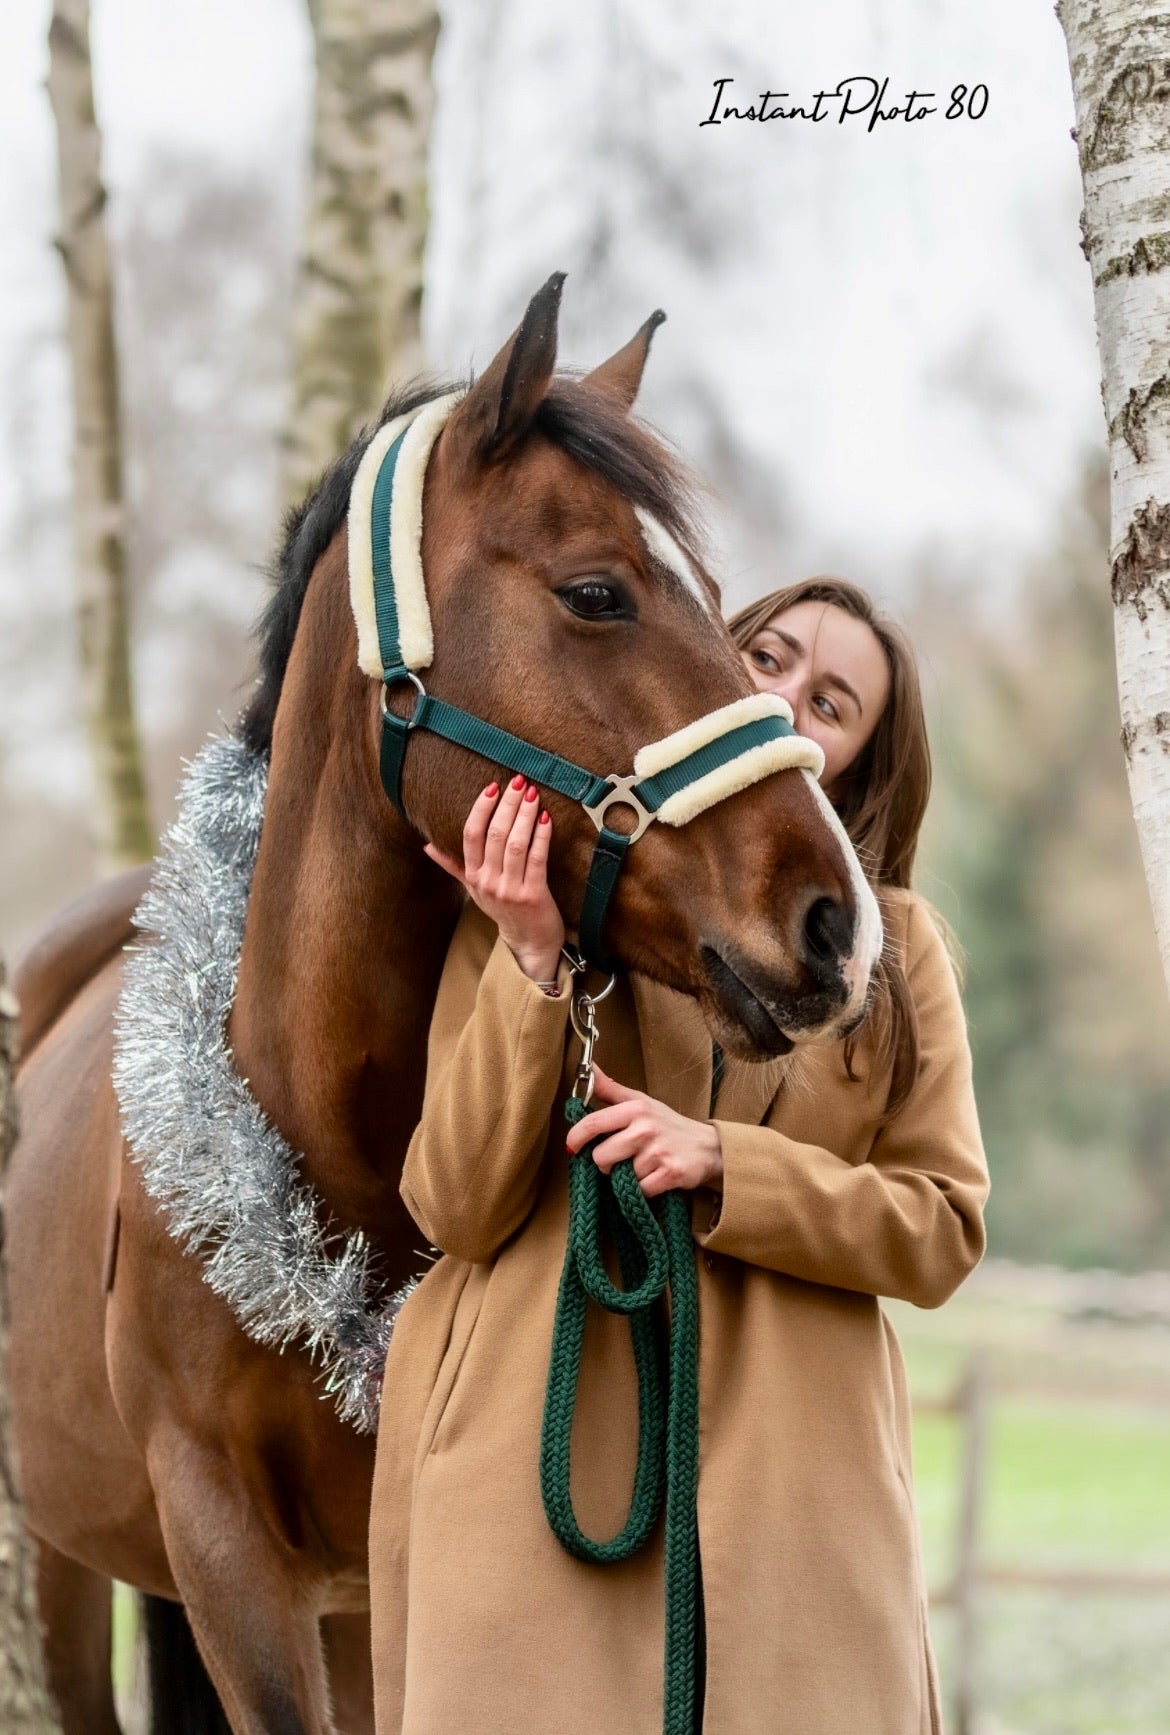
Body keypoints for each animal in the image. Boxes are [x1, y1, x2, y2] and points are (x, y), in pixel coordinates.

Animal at [7, 273, 881, 1734]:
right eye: (596, 592)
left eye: (722, 603)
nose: (836, 920)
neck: (319, 1138)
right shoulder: (229, 1556)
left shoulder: (384, 1580)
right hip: (62, 1559)